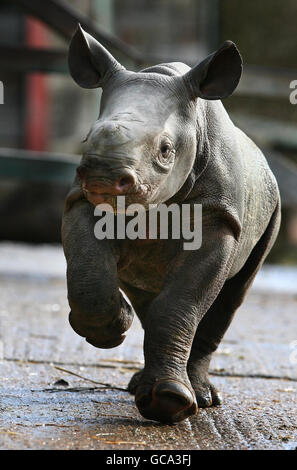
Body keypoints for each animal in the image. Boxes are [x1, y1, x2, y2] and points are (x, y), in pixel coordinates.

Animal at [61, 23, 280, 424]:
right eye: (87, 137)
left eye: (165, 150)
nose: (103, 177)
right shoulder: (80, 201)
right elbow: (88, 270)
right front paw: (112, 327)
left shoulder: (219, 217)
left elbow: (181, 303)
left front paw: (170, 403)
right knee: (147, 291)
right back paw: (140, 382)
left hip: (272, 210)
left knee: (231, 296)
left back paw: (200, 396)